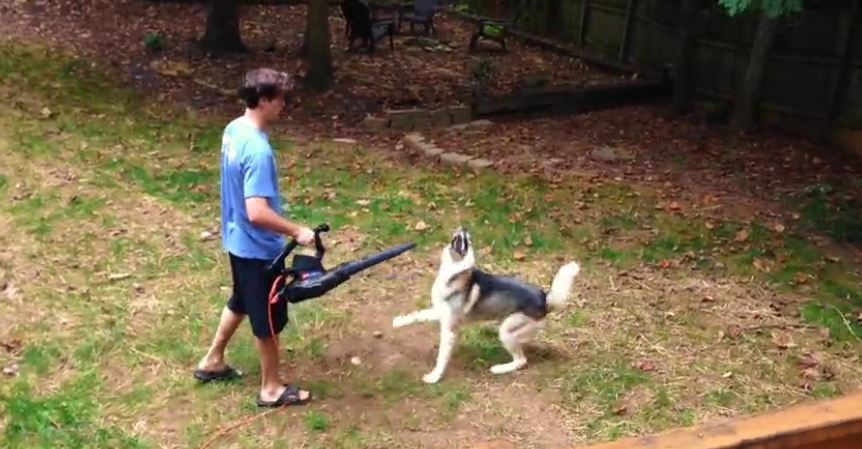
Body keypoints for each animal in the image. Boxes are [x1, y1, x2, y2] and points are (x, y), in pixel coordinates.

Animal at [394, 228, 584, 382]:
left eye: (467, 242)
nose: (464, 228)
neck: (455, 271)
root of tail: (544, 299)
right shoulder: (440, 312)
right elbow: (417, 315)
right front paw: (398, 321)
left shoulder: (449, 328)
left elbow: (442, 357)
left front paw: (434, 377)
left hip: (507, 331)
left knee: (521, 360)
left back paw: (499, 368)